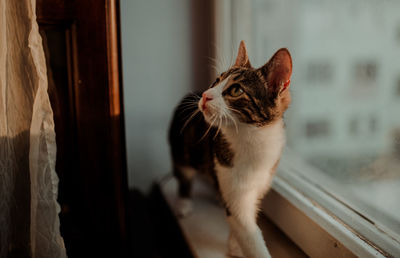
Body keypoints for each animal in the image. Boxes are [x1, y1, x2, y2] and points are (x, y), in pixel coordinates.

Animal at [167, 41, 292, 256]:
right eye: (216, 81)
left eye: (236, 90)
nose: (205, 96)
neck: (252, 139)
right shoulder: (229, 174)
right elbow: (245, 227)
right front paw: (243, 244)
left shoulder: (262, 179)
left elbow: (244, 214)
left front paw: (234, 244)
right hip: (180, 146)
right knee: (183, 173)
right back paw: (183, 203)